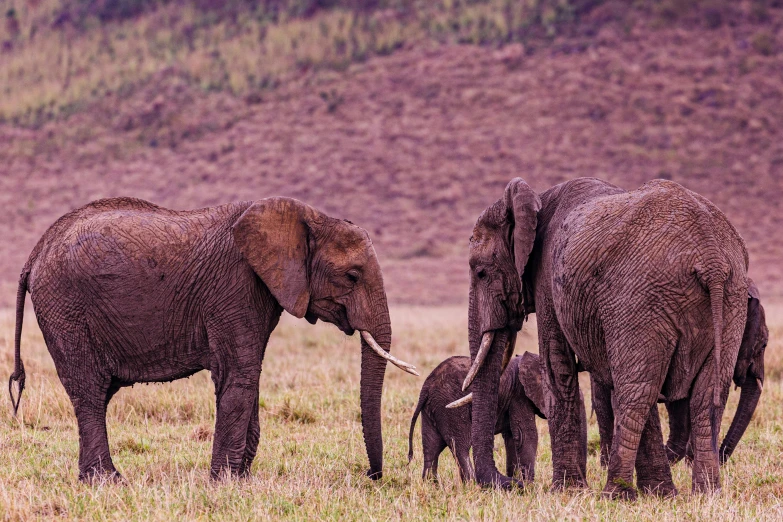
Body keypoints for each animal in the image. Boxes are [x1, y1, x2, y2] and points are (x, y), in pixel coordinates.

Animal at [7, 197, 422, 482]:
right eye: (352, 276)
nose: (373, 476)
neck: (305, 217)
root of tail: (35, 253)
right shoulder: (235, 287)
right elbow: (239, 375)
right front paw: (226, 482)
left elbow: (249, 374)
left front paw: (242, 478)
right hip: (66, 308)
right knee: (89, 391)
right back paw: (108, 482)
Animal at [410, 352, 556, 482]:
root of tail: (427, 386)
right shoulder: (519, 395)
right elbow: (525, 435)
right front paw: (528, 486)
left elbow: (511, 438)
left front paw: (516, 481)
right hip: (449, 405)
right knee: (461, 446)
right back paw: (472, 485)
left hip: (431, 408)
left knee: (431, 447)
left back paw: (431, 484)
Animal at [462, 178, 752, 496]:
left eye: (481, 273)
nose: (513, 483)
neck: (536, 201)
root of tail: (710, 258)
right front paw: (660, 494)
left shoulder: (548, 279)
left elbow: (558, 366)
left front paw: (567, 491)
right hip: (731, 297)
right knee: (705, 394)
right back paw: (707, 493)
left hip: (641, 296)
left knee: (636, 393)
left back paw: (616, 494)